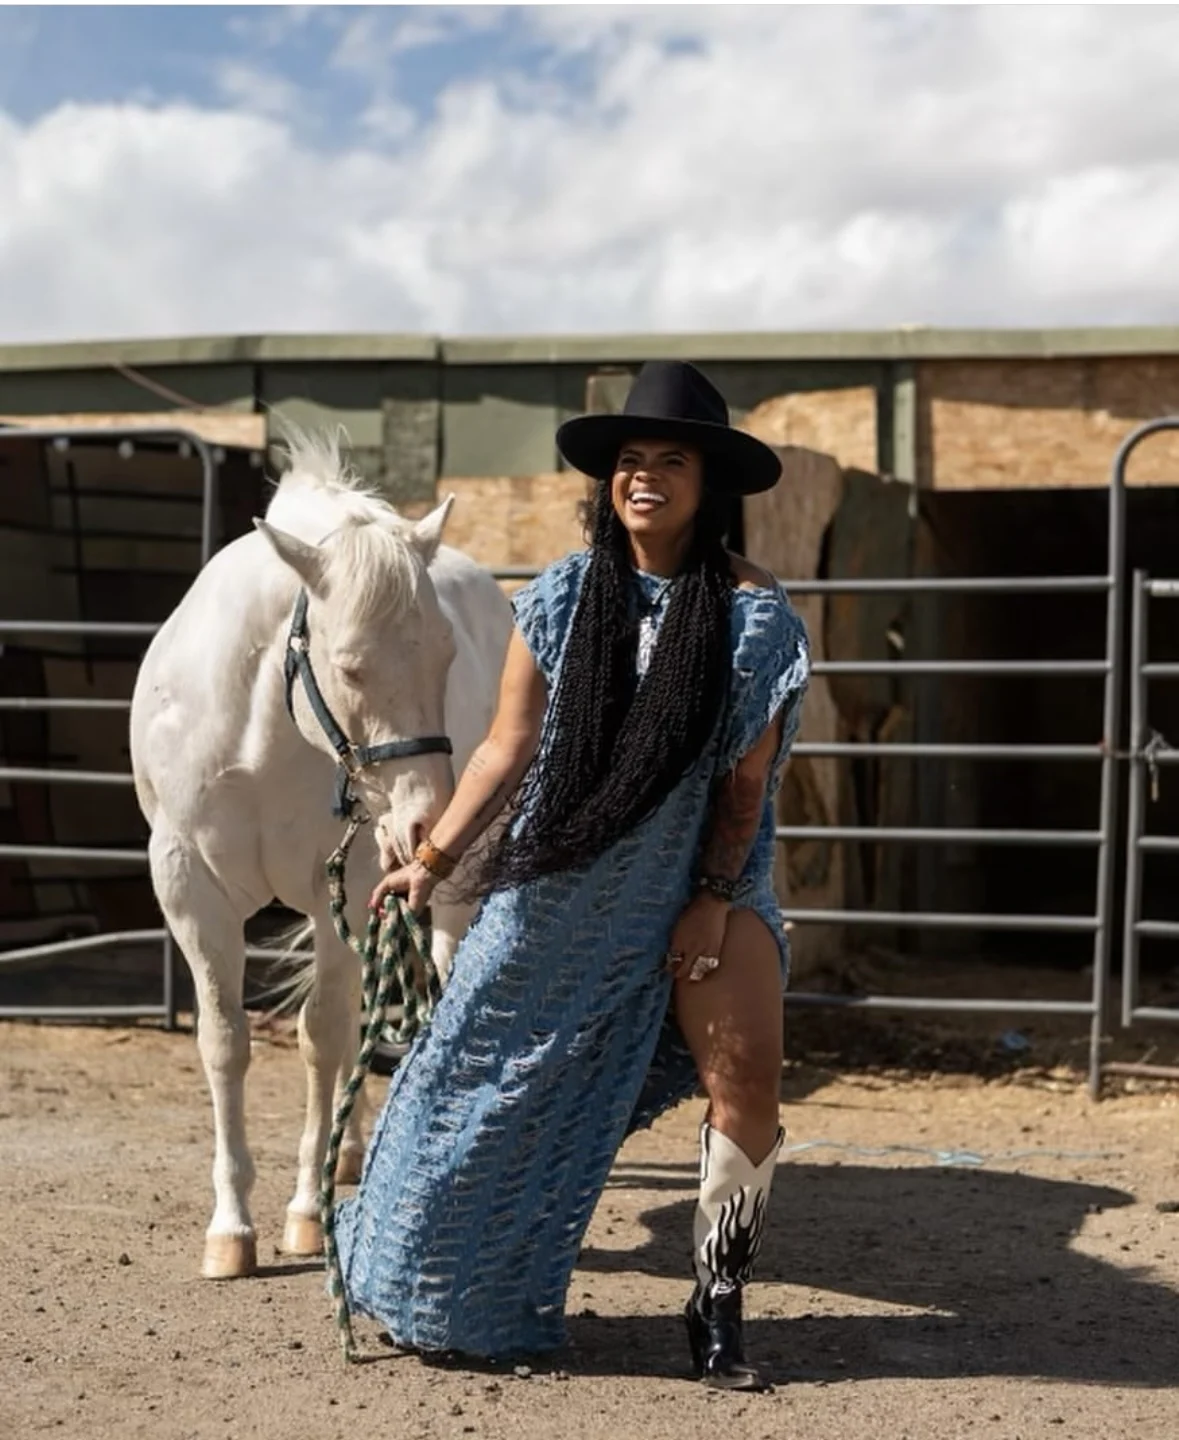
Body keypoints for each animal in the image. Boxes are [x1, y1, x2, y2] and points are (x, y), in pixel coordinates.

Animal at [131, 429, 515, 1284]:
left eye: (445, 656)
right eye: (349, 666)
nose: (427, 817)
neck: (262, 738)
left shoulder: (347, 882)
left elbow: (321, 1037)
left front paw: (305, 1215)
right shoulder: (190, 890)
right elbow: (225, 1042)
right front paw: (231, 1229)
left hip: (448, 891)